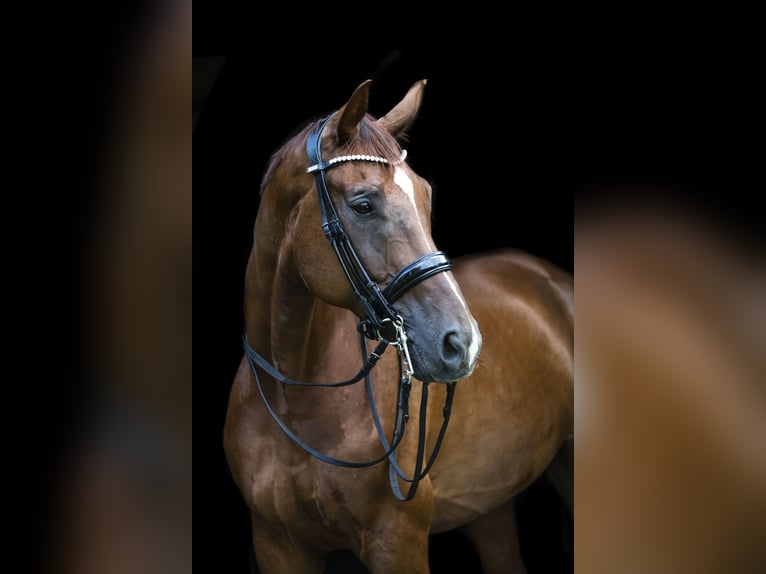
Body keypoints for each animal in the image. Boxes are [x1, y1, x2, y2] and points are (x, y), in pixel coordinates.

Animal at [225, 77, 572, 574]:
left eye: (426, 196)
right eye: (363, 205)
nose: (462, 343)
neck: (297, 403)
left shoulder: (397, 541)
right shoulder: (277, 545)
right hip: (490, 510)